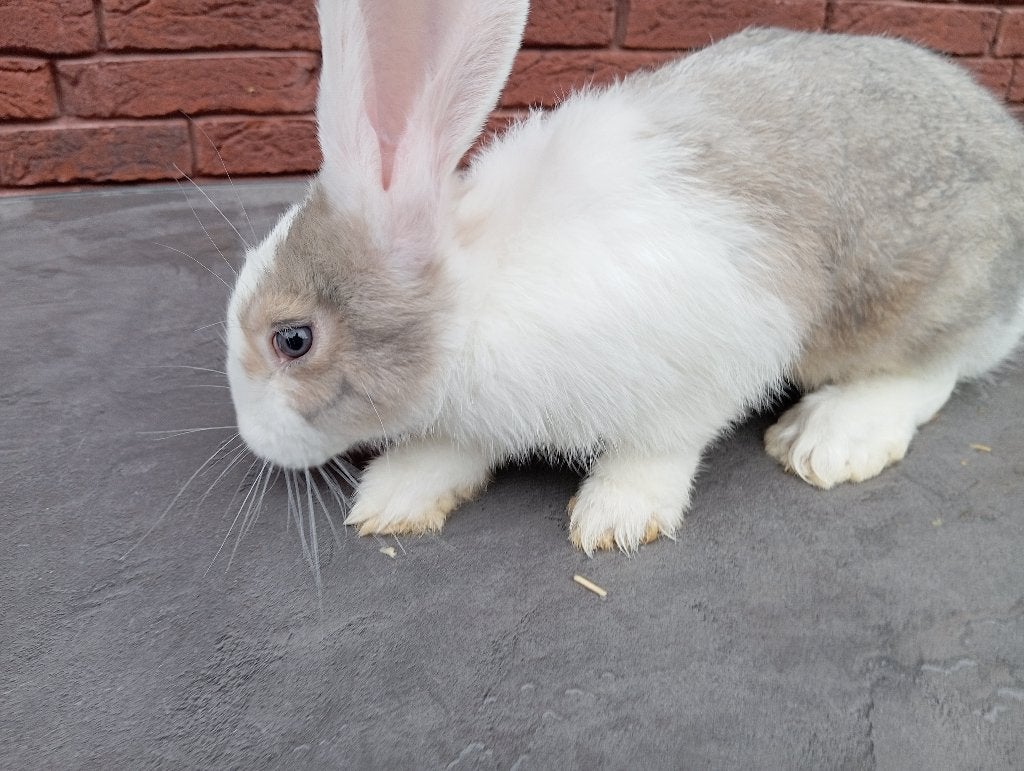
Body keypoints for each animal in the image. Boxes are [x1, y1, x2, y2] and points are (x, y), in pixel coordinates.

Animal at [225, 0, 1024, 555]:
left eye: (292, 339)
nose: (254, 441)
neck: (473, 296)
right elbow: (450, 447)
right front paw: (394, 496)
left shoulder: (711, 355)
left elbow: (659, 446)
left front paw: (618, 514)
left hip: (919, 299)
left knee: (933, 370)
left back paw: (830, 437)